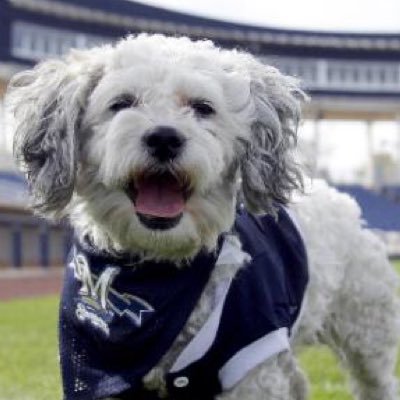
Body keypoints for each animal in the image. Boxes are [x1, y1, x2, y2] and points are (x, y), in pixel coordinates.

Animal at [7, 34, 400, 400]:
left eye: (202, 107)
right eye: (121, 103)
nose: (164, 138)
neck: (159, 269)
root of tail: (342, 199)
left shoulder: (253, 363)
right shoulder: (99, 372)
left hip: (366, 333)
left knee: (376, 381)